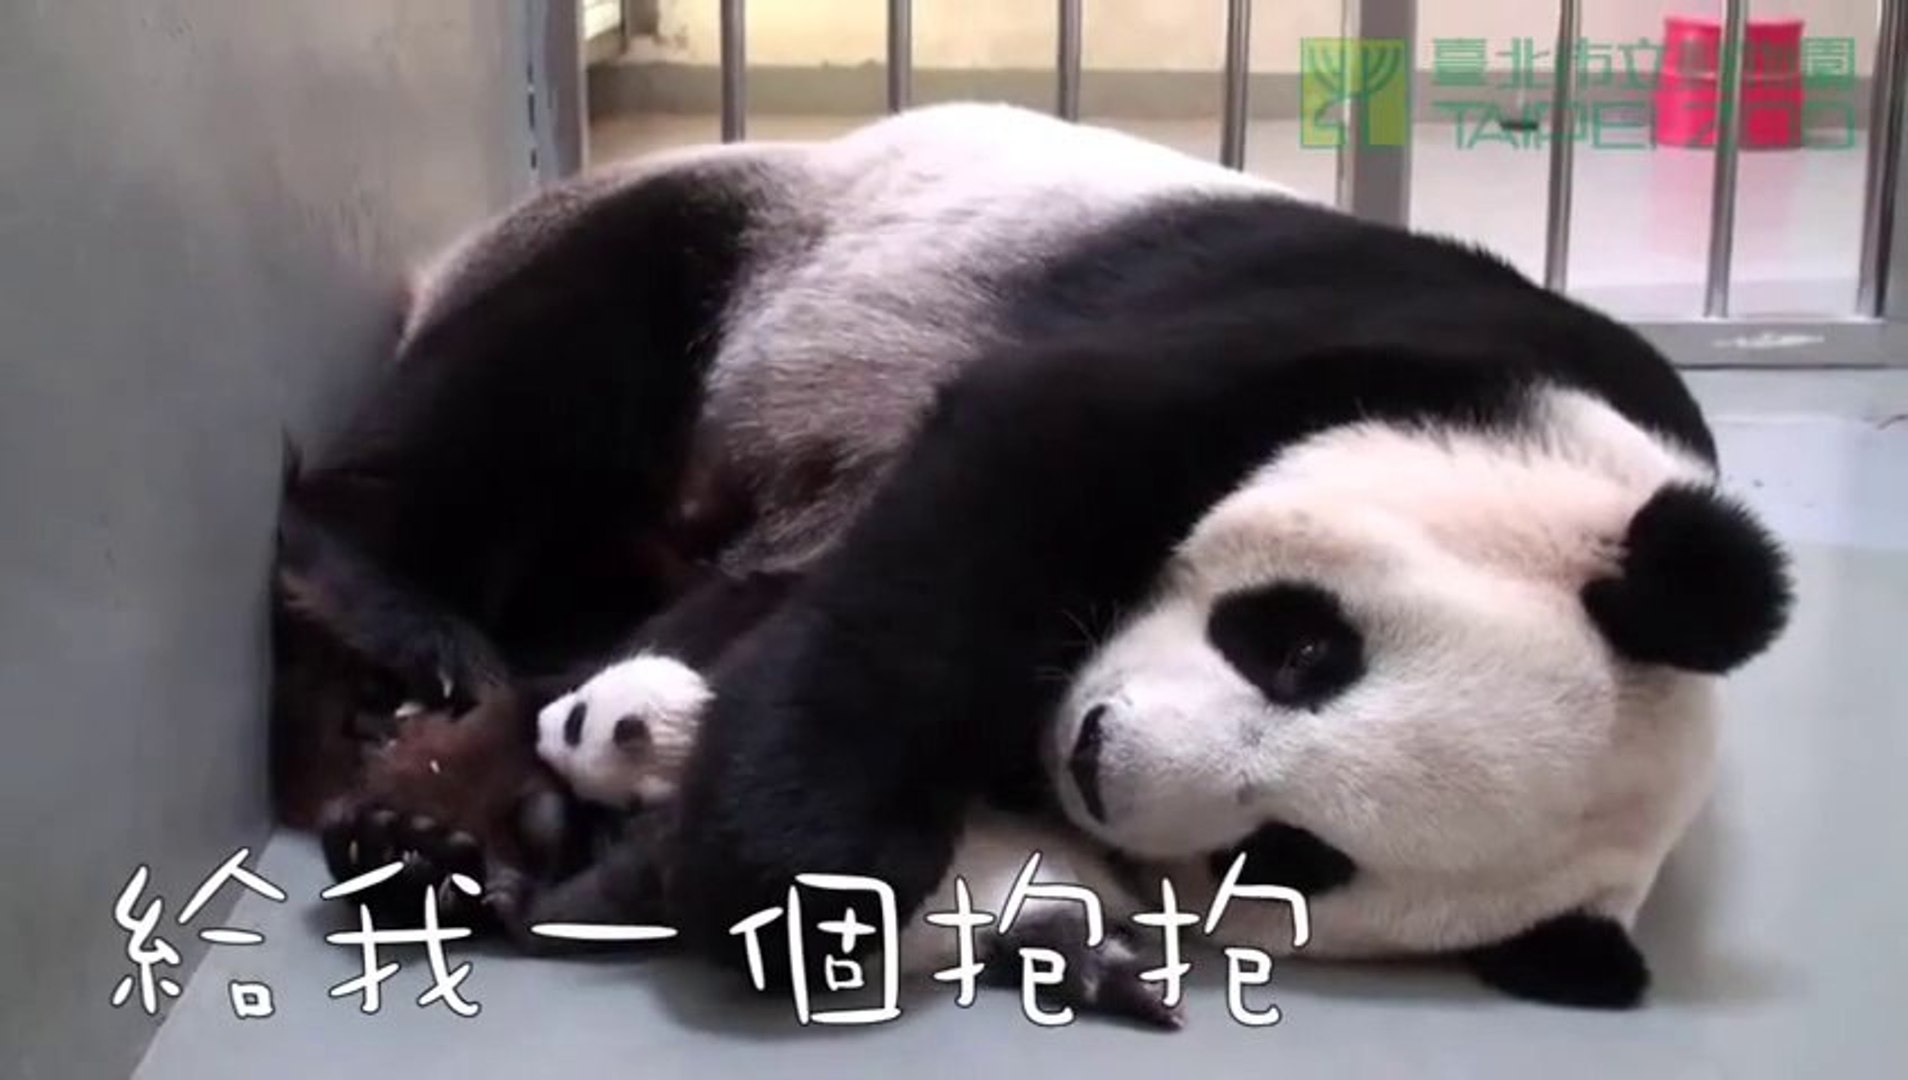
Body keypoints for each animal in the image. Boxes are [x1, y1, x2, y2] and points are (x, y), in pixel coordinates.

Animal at [294, 103, 1793, 1018]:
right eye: (1307, 648)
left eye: (1292, 856)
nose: (1097, 754)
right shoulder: (1339, 349)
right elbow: (989, 496)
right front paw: (792, 875)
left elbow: (775, 617)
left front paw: (596, 835)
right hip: (765, 256)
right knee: (562, 359)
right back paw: (390, 629)